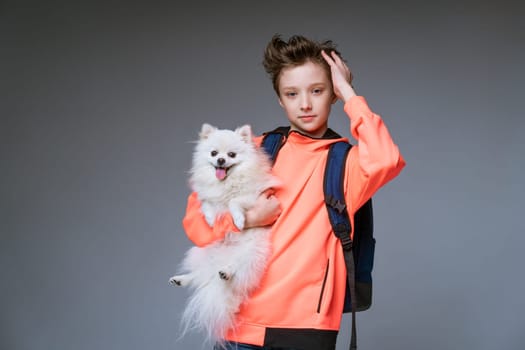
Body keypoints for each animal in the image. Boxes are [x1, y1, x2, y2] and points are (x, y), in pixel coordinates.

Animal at [170, 123, 280, 344]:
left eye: (231, 155)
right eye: (213, 153)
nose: (220, 160)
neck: (226, 183)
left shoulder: (253, 197)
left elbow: (234, 201)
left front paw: (238, 220)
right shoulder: (206, 197)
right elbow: (207, 204)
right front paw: (212, 219)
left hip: (250, 255)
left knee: (234, 268)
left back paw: (226, 272)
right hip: (201, 252)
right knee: (201, 275)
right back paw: (182, 279)